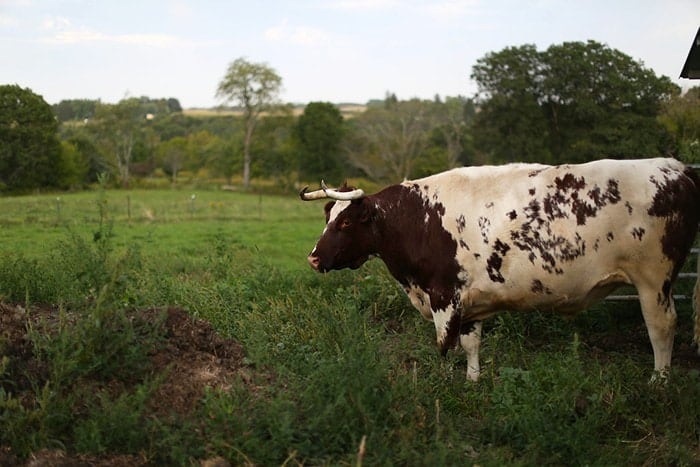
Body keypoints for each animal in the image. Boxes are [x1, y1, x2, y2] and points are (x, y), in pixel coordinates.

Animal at [300, 159, 700, 382]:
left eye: (346, 223)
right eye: (327, 217)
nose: (314, 258)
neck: (417, 217)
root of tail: (676, 167)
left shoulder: (443, 295)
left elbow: (444, 346)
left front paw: (443, 384)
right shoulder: (468, 300)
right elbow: (471, 343)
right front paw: (472, 381)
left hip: (654, 280)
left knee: (662, 328)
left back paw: (659, 381)